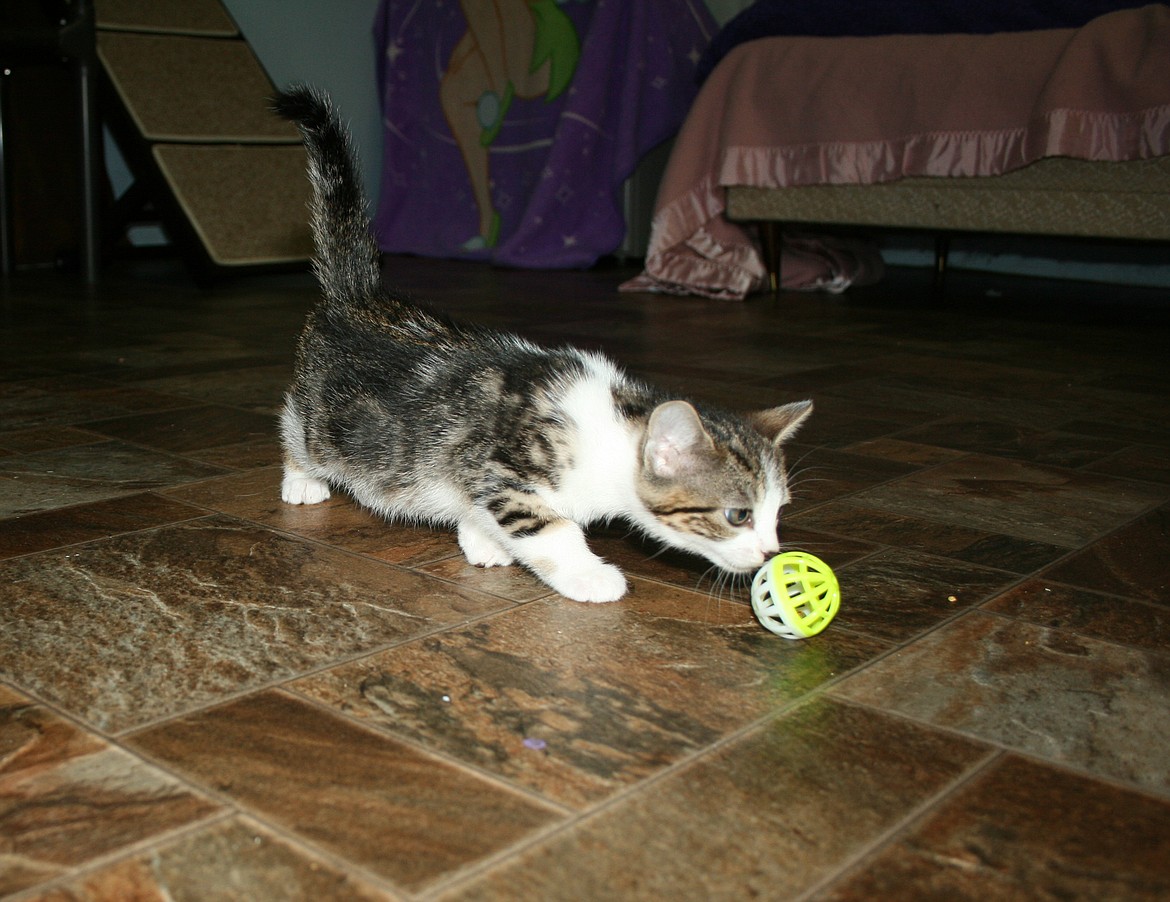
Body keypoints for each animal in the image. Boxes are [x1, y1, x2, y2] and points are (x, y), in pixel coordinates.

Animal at [271, 86, 814, 608]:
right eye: (738, 515)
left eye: (778, 512)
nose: (770, 552)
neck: (617, 422)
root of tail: (358, 294)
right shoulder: (502, 471)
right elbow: (551, 529)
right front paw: (590, 576)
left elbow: (480, 511)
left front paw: (480, 539)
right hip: (323, 422)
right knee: (296, 427)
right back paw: (302, 480)